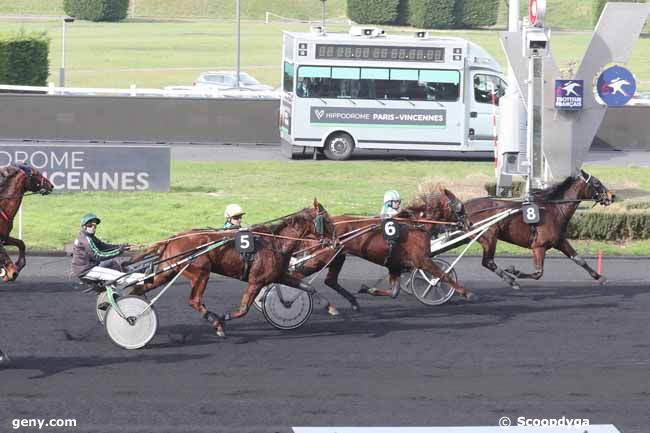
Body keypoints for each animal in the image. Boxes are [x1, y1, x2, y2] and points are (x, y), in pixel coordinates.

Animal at [131, 199, 334, 338]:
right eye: (327, 221)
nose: (335, 240)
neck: (276, 243)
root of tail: (172, 239)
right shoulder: (256, 281)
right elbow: (243, 308)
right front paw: (223, 317)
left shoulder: (279, 276)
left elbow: (307, 287)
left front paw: (329, 307)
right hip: (201, 272)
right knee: (194, 301)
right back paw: (216, 323)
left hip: (167, 271)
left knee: (139, 288)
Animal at [288, 186, 470, 308]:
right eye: (460, 206)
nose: (468, 223)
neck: (417, 225)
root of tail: (315, 230)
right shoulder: (422, 260)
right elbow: (442, 275)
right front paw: (466, 292)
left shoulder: (395, 265)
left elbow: (394, 292)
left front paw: (368, 289)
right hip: (321, 258)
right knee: (296, 275)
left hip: (338, 257)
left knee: (329, 280)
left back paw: (353, 302)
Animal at [460, 170, 612, 288]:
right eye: (597, 183)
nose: (612, 195)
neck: (555, 210)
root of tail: (464, 206)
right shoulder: (539, 246)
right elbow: (538, 273)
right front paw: (514, 271)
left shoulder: (560, 241)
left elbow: (579, 259)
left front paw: (600, 277)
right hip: (489, 236)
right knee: (488, 262)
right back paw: (511, 281)